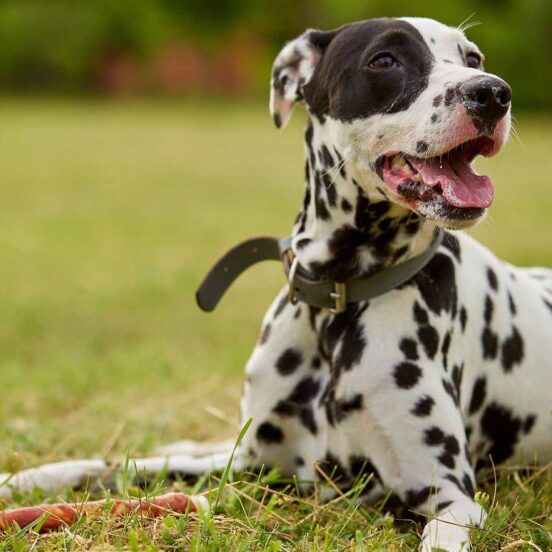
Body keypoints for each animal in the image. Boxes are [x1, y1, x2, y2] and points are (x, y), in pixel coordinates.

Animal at [1, 15, 552, 548]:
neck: (337, 303)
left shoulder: (449, 497)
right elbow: (122, 466)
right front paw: (29, 479)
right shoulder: (251, 466)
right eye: (384, 60)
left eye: (472, 58)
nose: (492, 92)